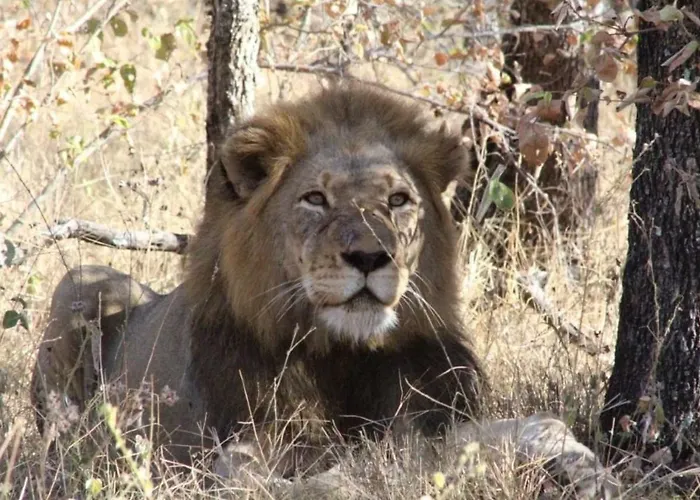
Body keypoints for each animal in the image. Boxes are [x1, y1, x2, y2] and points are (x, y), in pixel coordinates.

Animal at [31, 82, 618, 498]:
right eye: (315, 199)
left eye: (398, 200)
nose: (370, 258)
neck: (344, 356)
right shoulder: (230, 456)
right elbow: (334, 474)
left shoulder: (433, 414)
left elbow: (526, 427)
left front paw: (587, 470)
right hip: (81, 284)